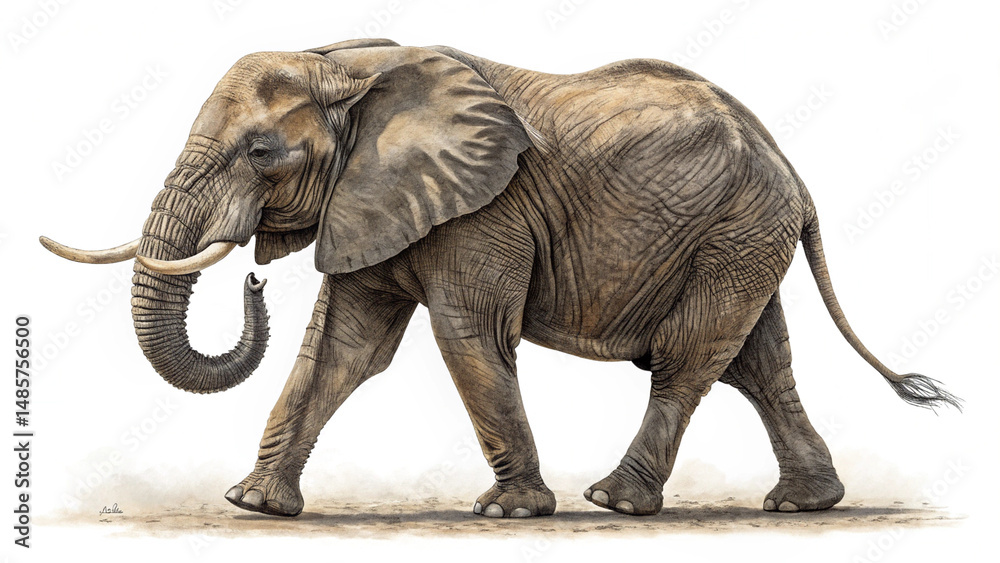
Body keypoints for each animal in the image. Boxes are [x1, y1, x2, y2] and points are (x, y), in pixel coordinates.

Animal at [41, 38, 960, 519]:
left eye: (262, 153)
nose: (254, 282)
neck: (349, 64)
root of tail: (793, 170)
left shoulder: (482, 213)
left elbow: (467, 336)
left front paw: (513, 512)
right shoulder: (375, 201)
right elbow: (342, 348)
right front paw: (254, 505)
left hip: (735, 232)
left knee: (691, 359)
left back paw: (614, 501)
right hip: (740, 236)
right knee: (758, 364)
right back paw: (806, 503)